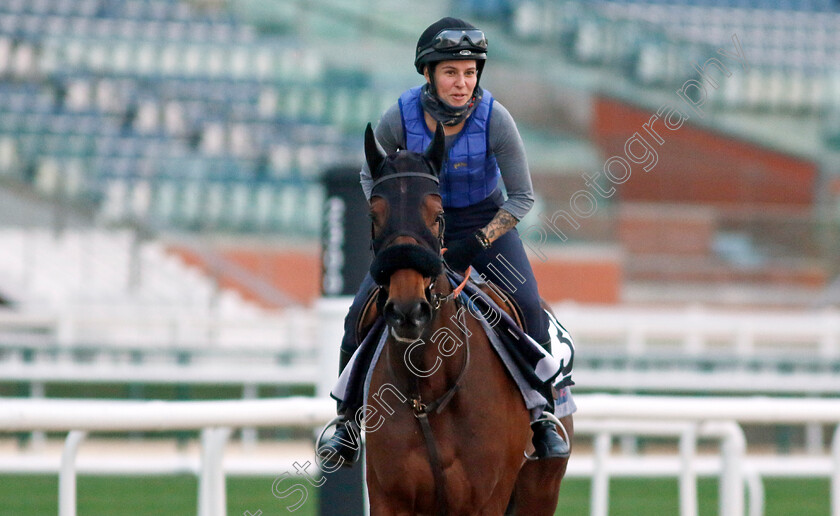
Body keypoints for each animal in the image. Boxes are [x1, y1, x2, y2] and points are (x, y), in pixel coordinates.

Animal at [358, 123, 576, 512]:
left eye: (438, 215)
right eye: (374, 216)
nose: (408, 309)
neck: (427, 393)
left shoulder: (485, 500)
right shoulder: (389, 498)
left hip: (541, 488)